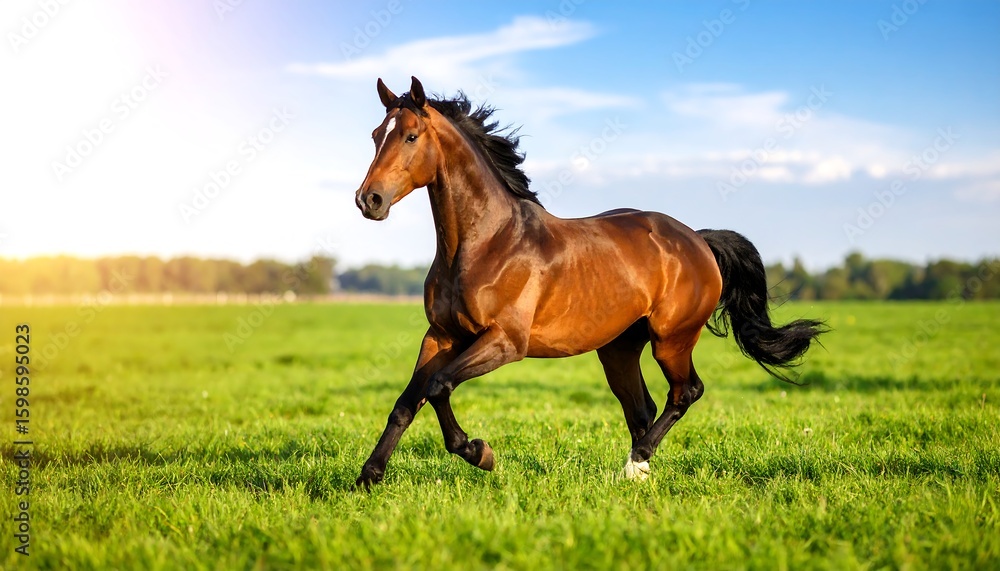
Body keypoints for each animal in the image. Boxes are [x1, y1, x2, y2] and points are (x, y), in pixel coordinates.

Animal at [353, 76, 826, 488]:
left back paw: (636, 463)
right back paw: (638, 472)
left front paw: (478, 452)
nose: (368, 200)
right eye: (376, 135)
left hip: (671, 339)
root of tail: (697, 239)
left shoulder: (505, 342)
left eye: (411, 136)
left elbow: (438, 387)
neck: (487, 243)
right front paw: (367, 478)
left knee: (685, 392)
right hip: (618, 348)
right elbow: (407, 402)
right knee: (642, 408)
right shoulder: (440, 336)